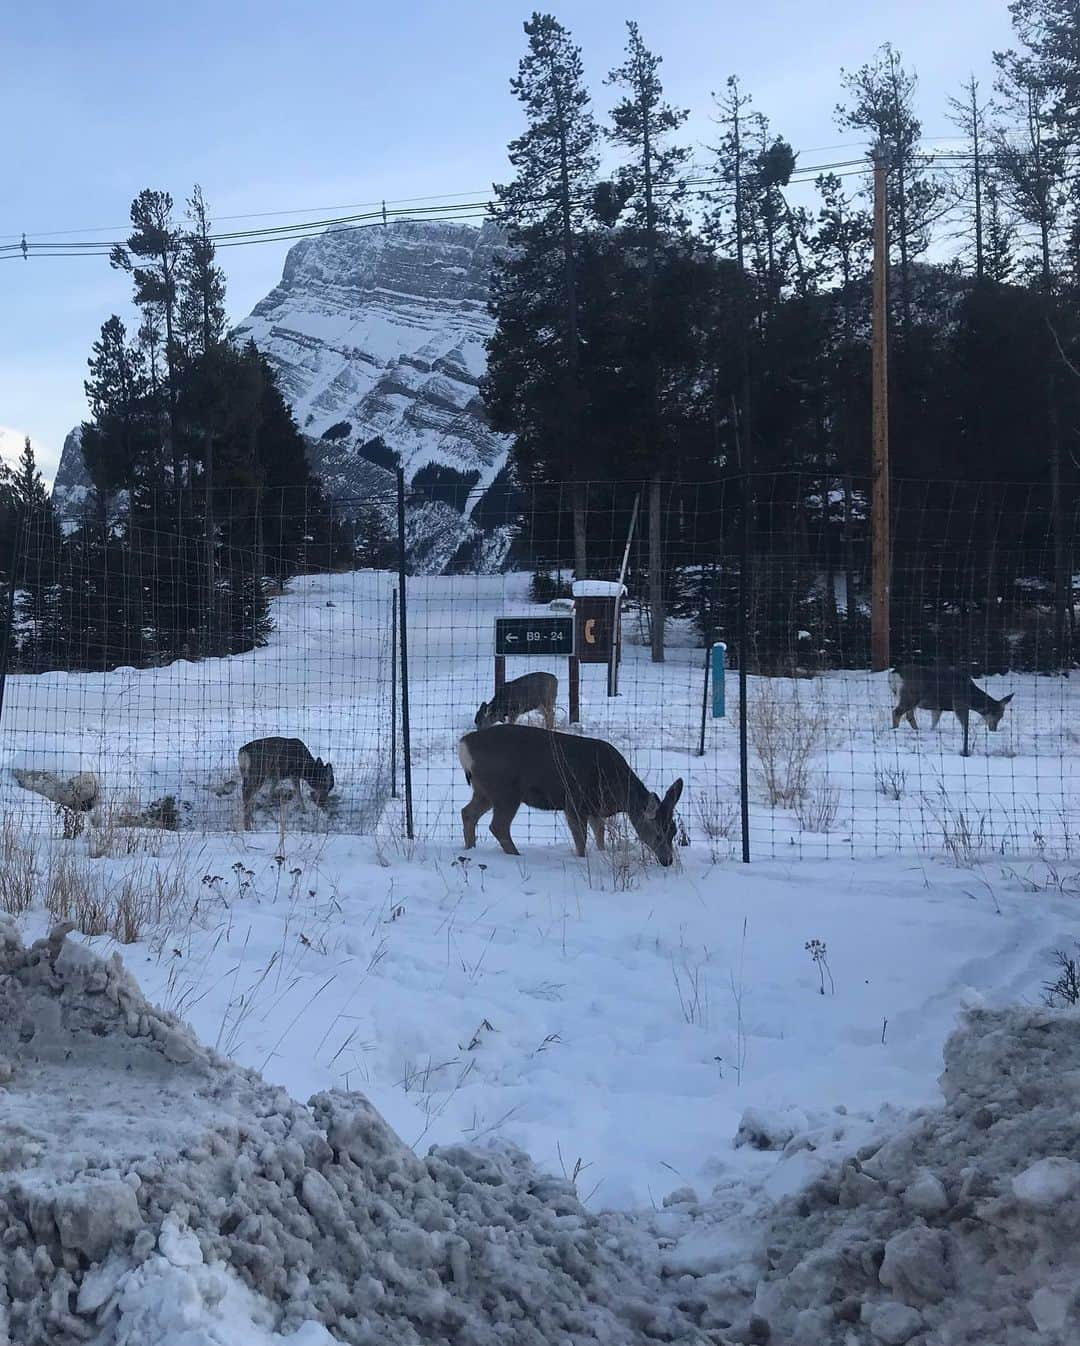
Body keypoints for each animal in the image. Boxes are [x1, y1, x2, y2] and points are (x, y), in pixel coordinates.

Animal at [457, 721, 681, 866]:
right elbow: (581, 838)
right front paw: (582, 859)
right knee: (498, 826)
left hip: (484, 790)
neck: (616, 788)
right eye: (658, 834)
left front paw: (602, 853)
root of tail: (463, 745)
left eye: (674, 831)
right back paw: (515, 855)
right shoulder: (574, 802)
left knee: (467, 813)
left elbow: (599, 833)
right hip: (506, 790)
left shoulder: (594, 808)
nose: (668, 861)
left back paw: (470, 849)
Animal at [883, 664, 1012, 759]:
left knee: (909, 715)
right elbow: (964, 723)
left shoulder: (937, 708)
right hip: (910, 696)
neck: (971, 697)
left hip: (907, 698)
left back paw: (916, 730)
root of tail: (893, 674)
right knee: (896, 712)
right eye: (998, 715)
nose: (993, 729)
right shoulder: (959, 704)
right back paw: (895, 730)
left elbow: (934, 723)